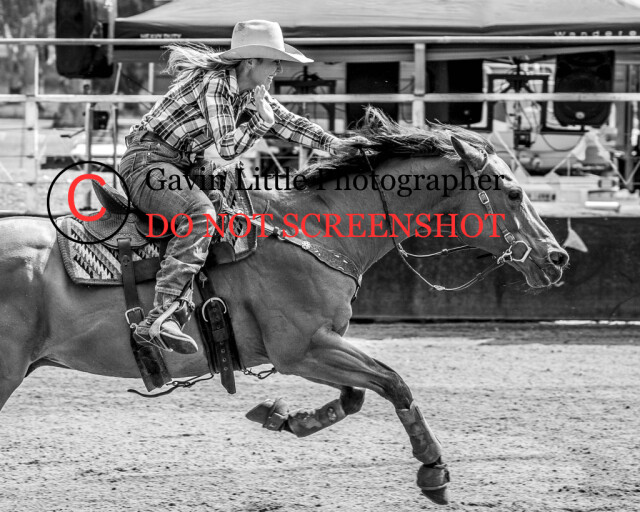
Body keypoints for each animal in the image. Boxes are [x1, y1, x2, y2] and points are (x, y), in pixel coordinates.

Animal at [0, 109, 569, 505]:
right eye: (514, 193)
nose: (556, 258)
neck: (316, 230)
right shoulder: (302, 349)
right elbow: (393, 382)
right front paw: (433, 470)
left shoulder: (321, 347)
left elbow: (356, 396)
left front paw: (280, 417)